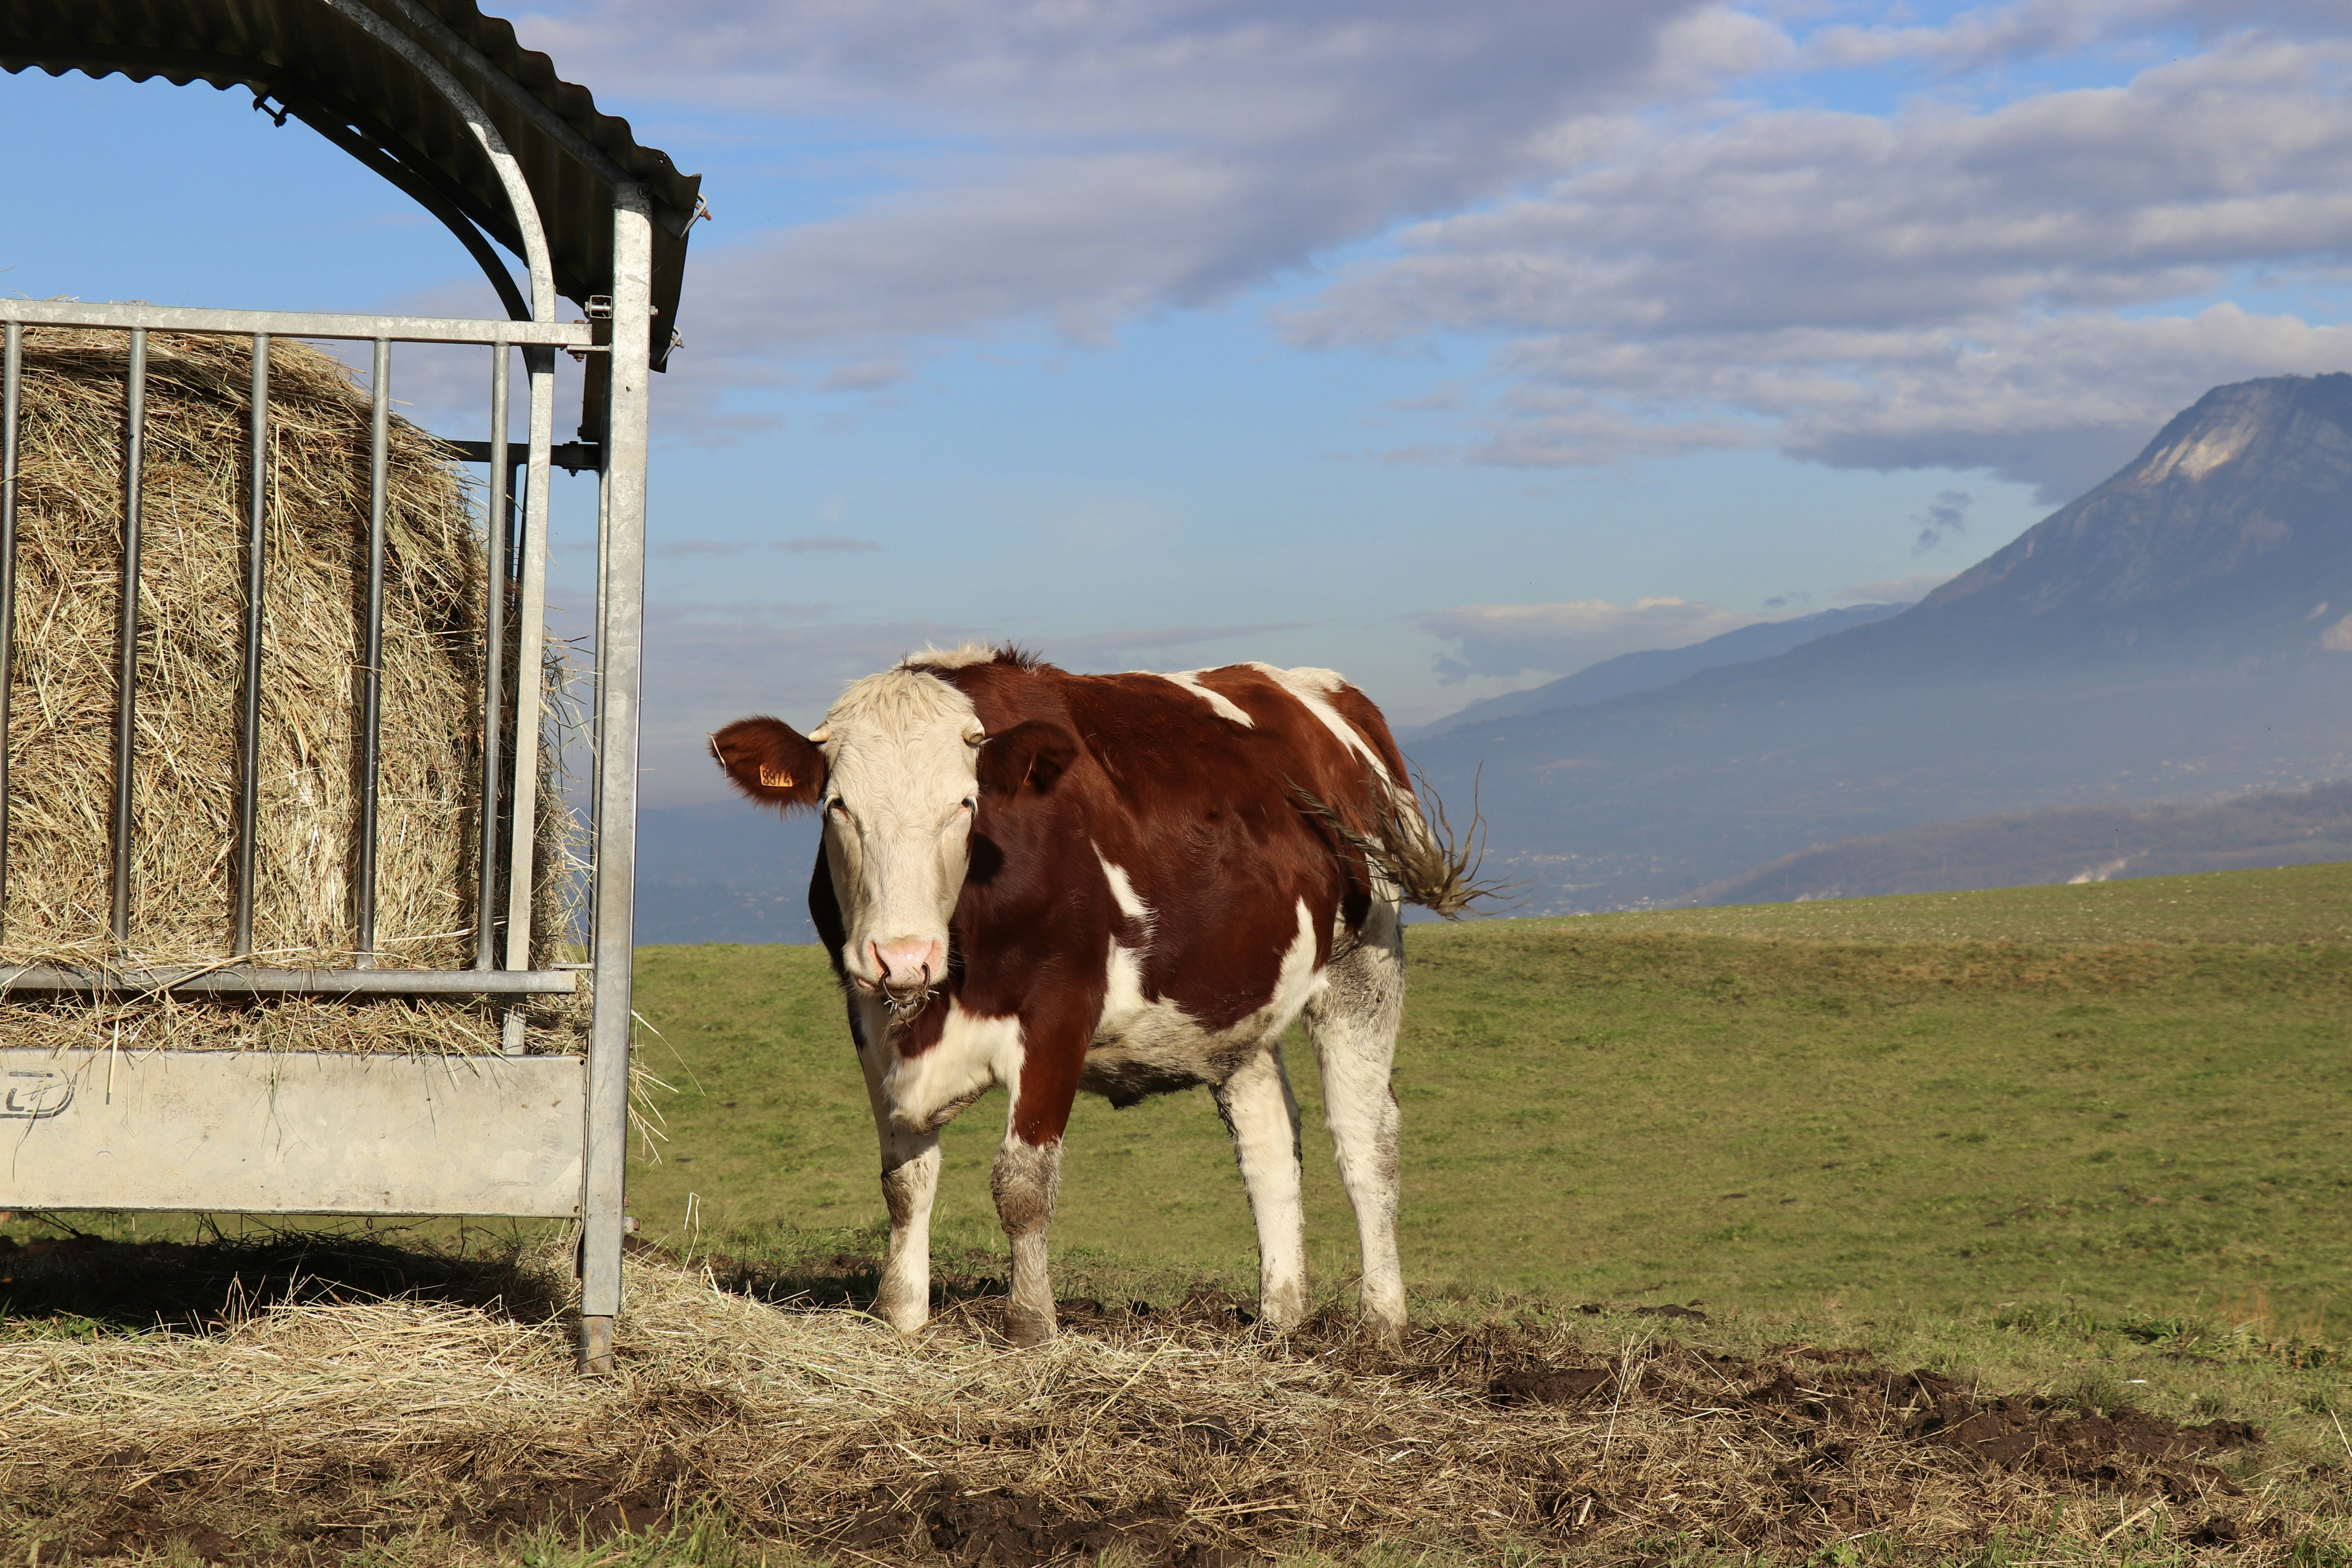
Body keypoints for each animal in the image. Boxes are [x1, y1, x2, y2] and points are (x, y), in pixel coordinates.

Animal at [709, 645, 1485, 1346]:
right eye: (837, 807)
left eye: (965, 804)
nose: (903, 956)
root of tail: (1322, 691)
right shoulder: (868, 1015)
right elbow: (906, 1180)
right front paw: (900, 1316)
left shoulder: (1060, 1011)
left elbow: (1022, 1183)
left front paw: (1030, 1326)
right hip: (1236, 1002)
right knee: (1268, 1140)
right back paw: (1279, 1319)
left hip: (1364, 967)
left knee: (1365, 1138)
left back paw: (1381, 1321)